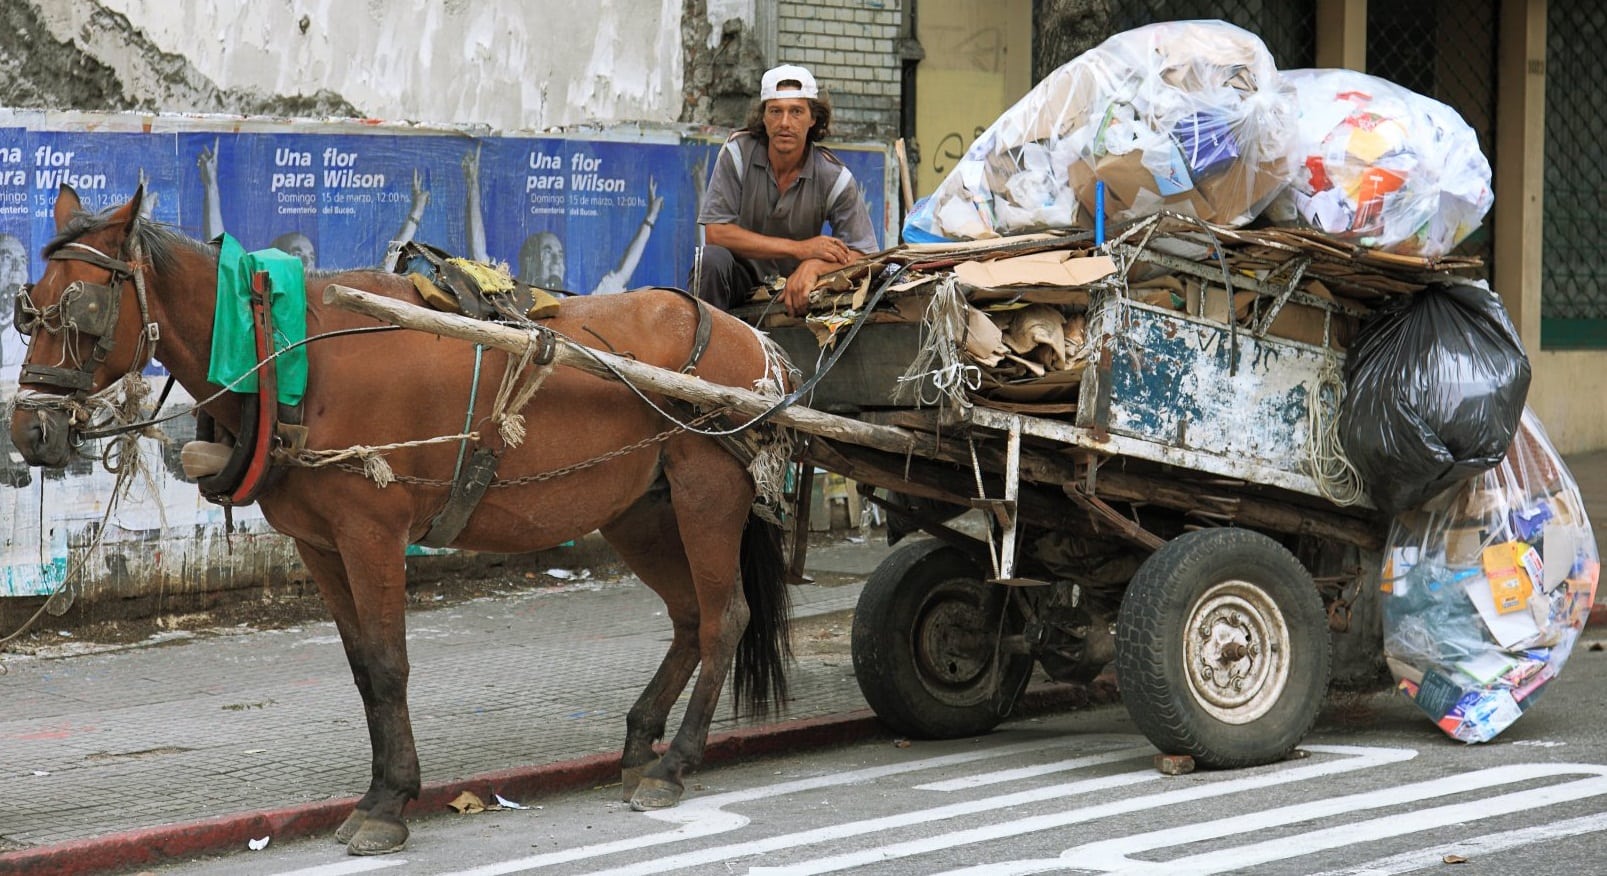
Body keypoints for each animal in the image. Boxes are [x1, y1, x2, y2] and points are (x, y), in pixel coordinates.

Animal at [7, 186, 797, 855]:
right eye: (28, 307)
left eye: (81, 308)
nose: (30, 431)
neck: (283, 348)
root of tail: (752, 341)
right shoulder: (320, 545)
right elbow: (363, 668)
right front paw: (382, 789)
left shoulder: (372, 534)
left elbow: (390, 664)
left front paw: (390, 805)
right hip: (639, 511)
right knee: (691, 617)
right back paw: (640, 746)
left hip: (705, 491)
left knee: (725, 616)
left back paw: (676, 763)